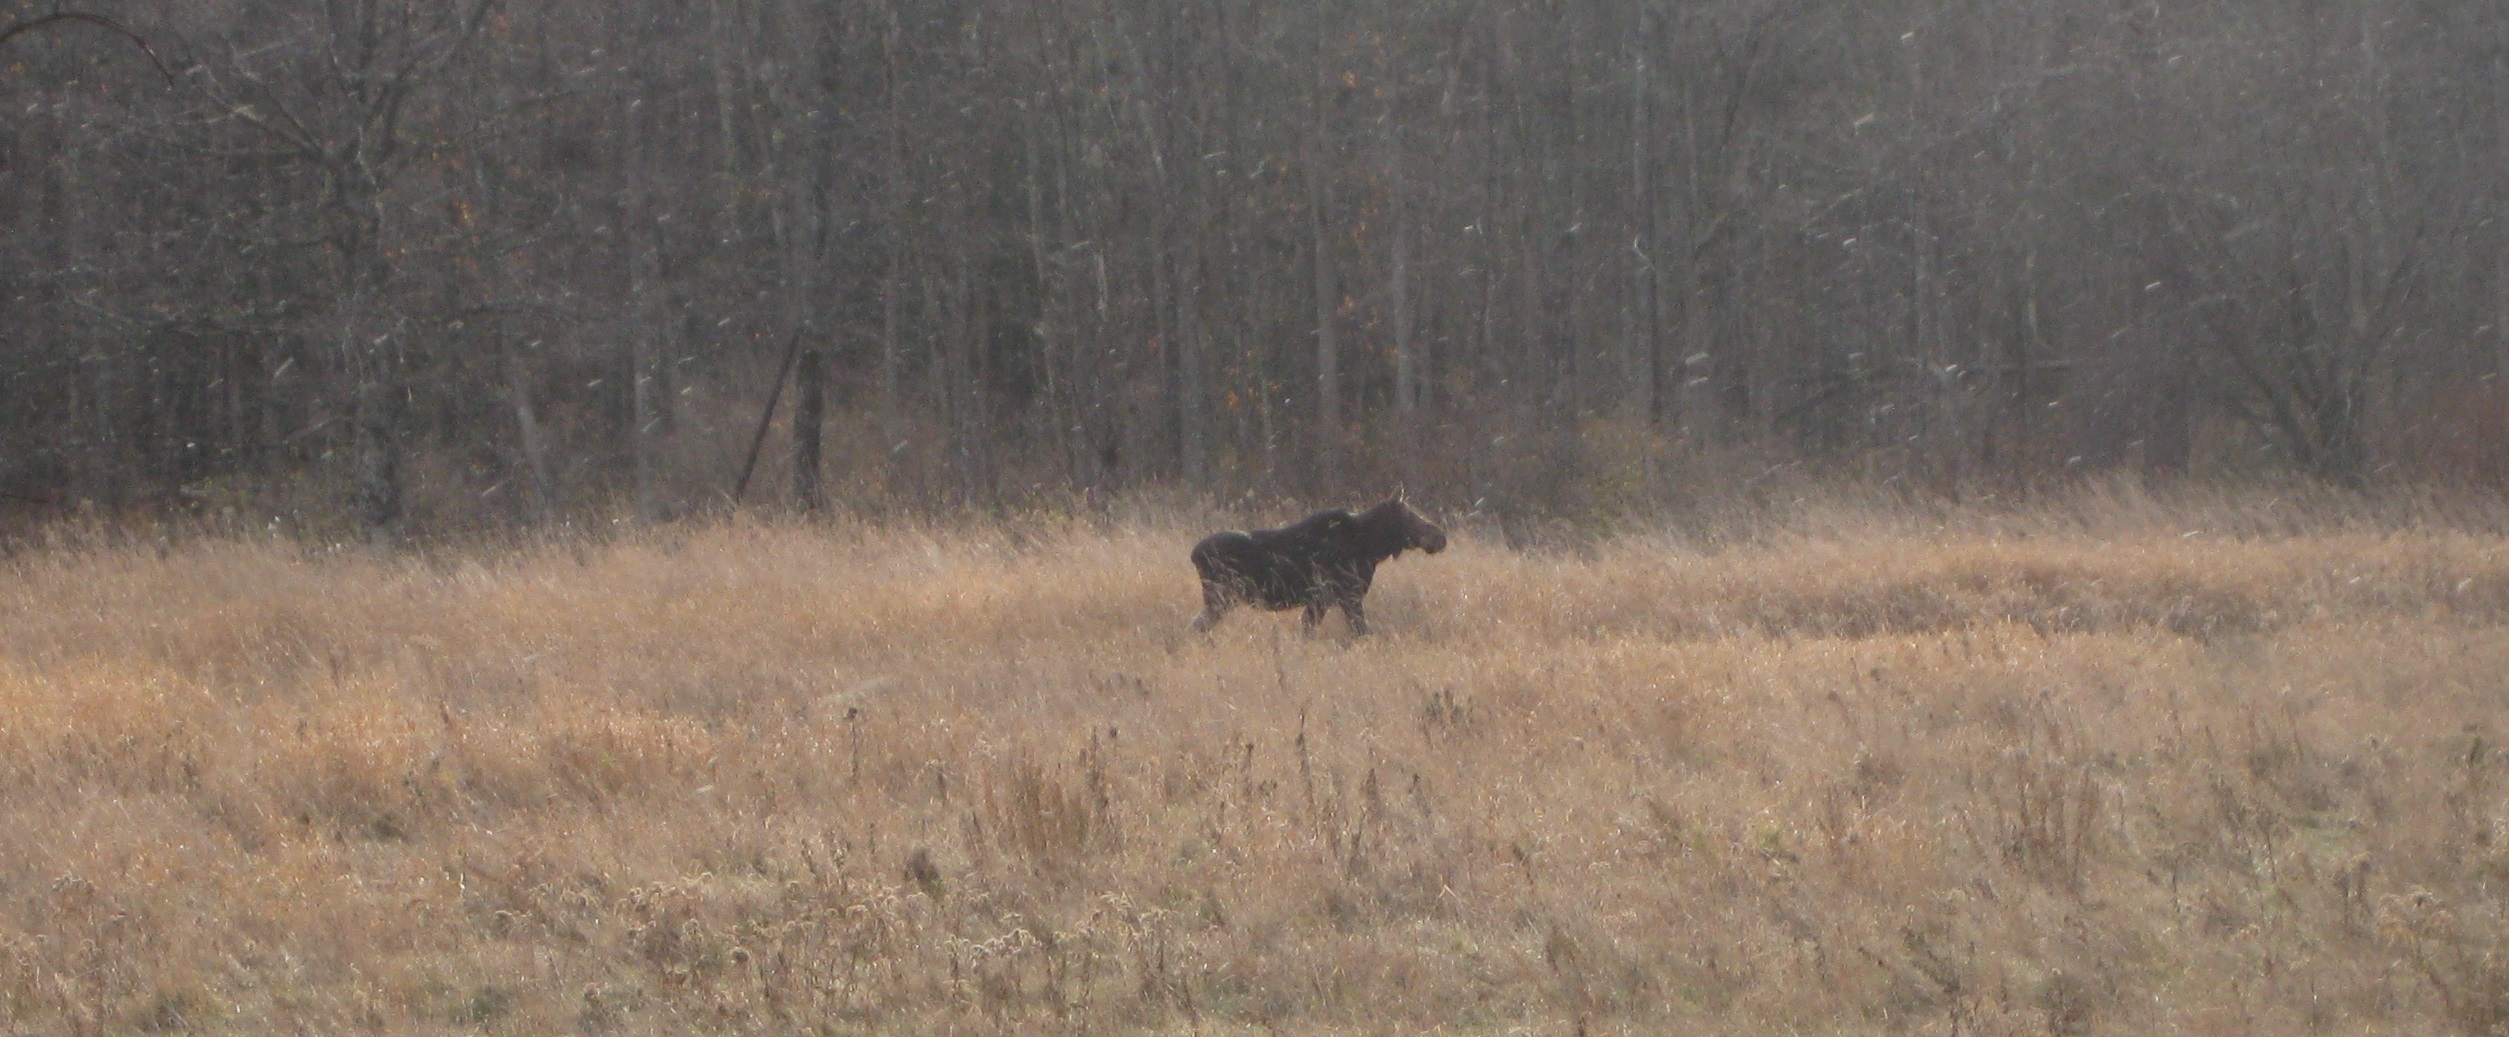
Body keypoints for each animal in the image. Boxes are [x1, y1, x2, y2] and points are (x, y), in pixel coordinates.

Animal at [1194, 492, 1455, 630]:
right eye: (1409, 516)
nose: (1440, 537)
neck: (1371, 547)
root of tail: (1193, 554)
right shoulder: (1339, 596)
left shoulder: (1328, 600)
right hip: (1220, 596)